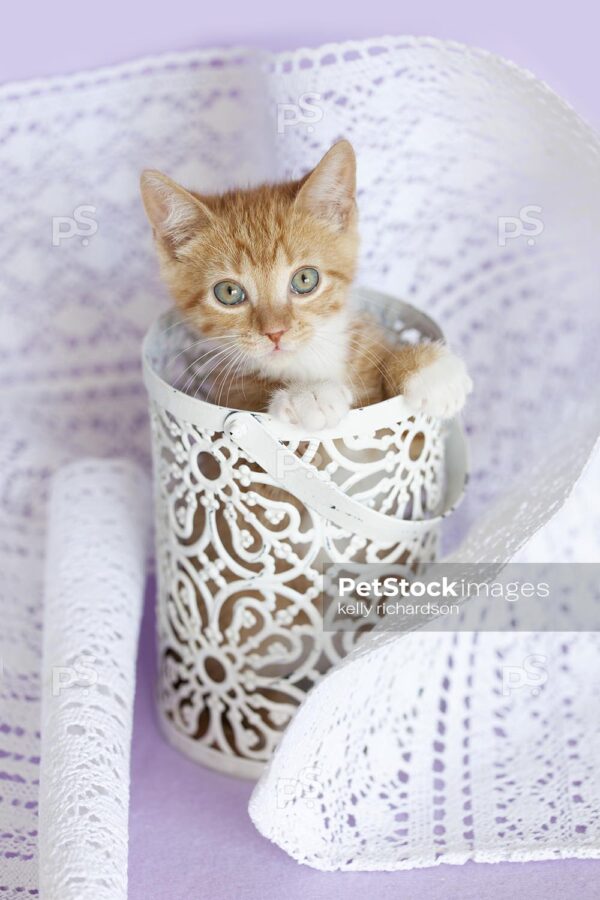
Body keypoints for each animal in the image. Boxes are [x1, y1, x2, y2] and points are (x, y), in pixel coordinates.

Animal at [142, 139, 474, 428]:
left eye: (305, 279)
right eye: (229, 292)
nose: (275, 332)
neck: (307, 359)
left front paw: (428, 369)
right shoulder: (231, 396)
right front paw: (309, 393)